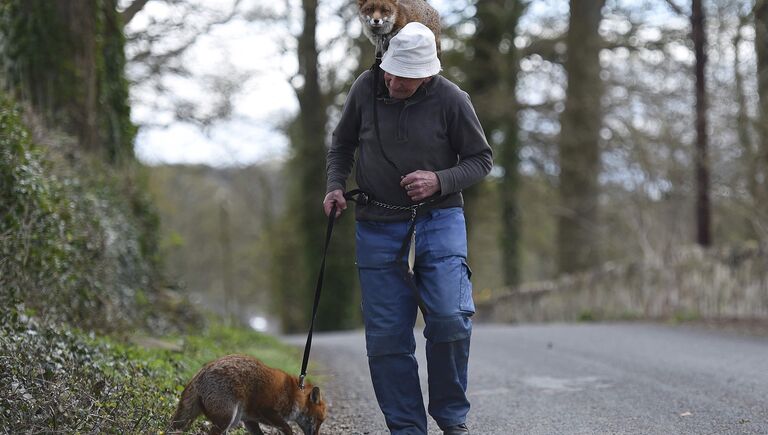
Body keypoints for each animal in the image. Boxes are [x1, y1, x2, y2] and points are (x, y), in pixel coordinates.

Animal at [170, 356, 326, 434]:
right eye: (319, 420)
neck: (294, 394)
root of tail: (200, 373)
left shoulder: (250, 420)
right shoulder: (267, 409)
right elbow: (287, 428)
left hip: (231, 421)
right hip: (227, 418)